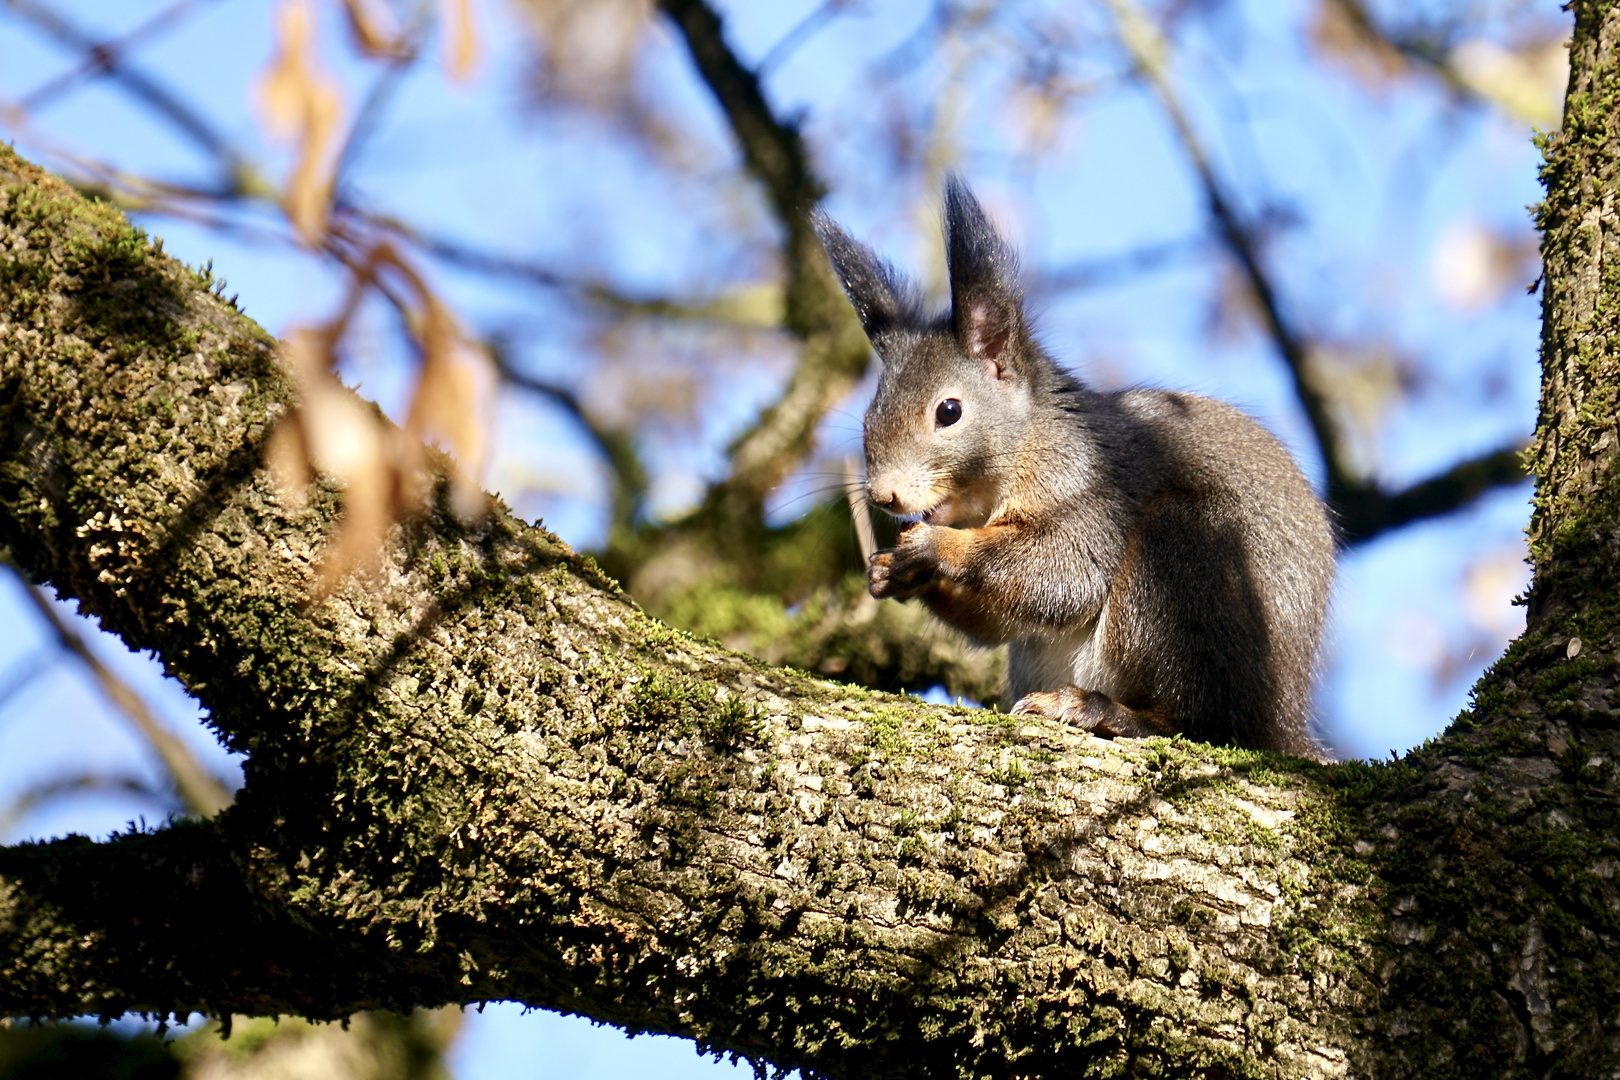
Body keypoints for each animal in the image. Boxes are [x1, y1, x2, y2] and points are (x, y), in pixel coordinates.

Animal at [816, 177, 1334, 757]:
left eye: (948, 411)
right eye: (869, 415)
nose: (883, 496)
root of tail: (1281, 722)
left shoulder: (1092, 484)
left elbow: (1068, 569)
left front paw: (939, 547)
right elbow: (1000, 620)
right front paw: (891, 571)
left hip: (1183, 562)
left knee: (1199, 722)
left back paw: (1102, 711)